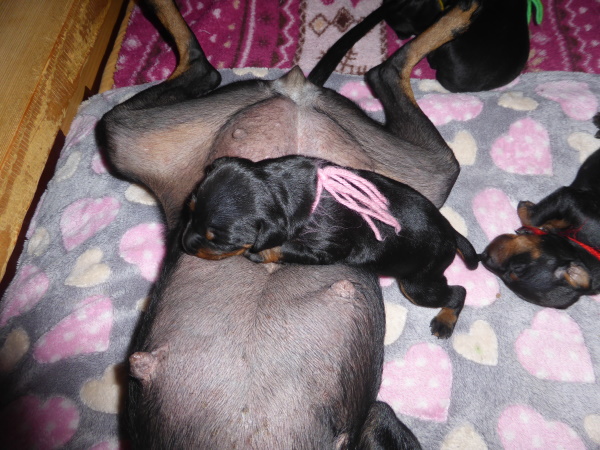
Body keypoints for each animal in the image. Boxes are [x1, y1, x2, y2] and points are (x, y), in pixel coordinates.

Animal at [182, 155, 478, 338]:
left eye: (218, 240)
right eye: (190, 209)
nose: (184, 244)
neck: (280, 191)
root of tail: (452, 234)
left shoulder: (326, 247)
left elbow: (284, 248)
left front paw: (259, 252)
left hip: (417, 283)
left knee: (458, 292)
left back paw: (444, 322)